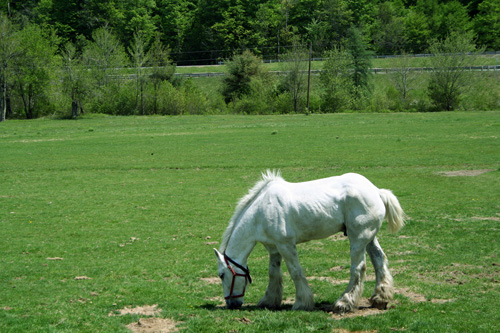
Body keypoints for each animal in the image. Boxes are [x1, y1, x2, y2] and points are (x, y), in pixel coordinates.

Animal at [213, 171, 404, 312]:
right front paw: (269, 300)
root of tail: (376, 191)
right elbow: (273, 273)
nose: (231, 304)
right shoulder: (274, 248)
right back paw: (380, 297)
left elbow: (295, 272)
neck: (261, 211)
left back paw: (344, 302)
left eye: (221, 275)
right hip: (369, 237)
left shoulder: (286, 245)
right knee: (379, 260)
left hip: (358, 237)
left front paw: (302, 303)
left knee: (358, 268)